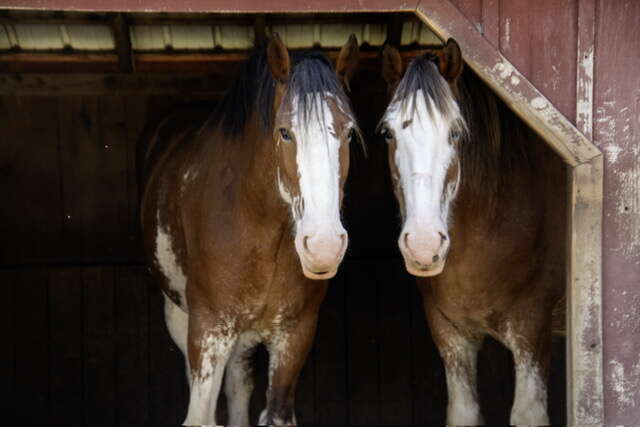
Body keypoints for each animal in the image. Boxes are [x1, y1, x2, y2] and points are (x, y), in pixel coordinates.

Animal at [138, 35, 360, 426]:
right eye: (285, 132)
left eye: (348, 133)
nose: (323, 246)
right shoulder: (209, 328)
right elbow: (200, 415)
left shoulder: (295, 334)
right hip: (180, 314)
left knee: (238, 383)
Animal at [380, 39, 564, 424]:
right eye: (388, 133)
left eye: (456, 132)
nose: (423, 246)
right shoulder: (450, 333)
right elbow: (463, 411)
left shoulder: (533, 328)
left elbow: (527, 414)